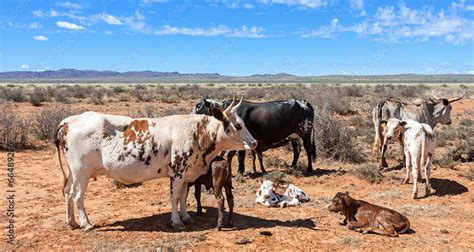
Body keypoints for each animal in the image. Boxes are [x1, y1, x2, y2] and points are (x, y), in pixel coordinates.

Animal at [53, 96, 258, 230]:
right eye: (238, 125)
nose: (255, 142)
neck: (197, 133)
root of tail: (69, 120)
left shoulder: (186, 174)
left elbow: (183, 197)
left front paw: (186, 216)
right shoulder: (177, 173)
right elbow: (175, 197)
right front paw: (177, 221)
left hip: (73, 173)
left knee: (67, 193)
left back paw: (72, 222)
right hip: (81, 172)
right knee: (77, 196)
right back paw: (86, 224)